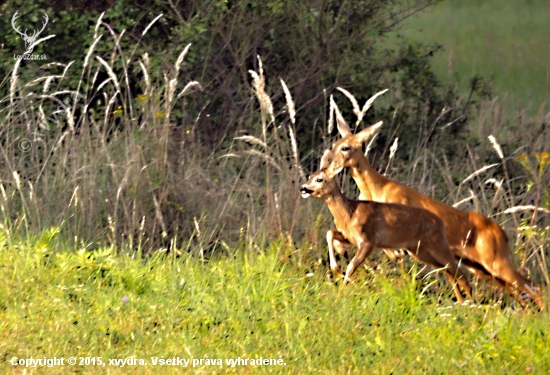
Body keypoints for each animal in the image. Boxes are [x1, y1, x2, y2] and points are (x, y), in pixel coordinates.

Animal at [300, 165, 476, 306]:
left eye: (319, 179)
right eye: (309, 177)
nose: (303, 188)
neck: (349, 213)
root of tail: (441, 222)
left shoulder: (369, 240)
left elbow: (351, 266)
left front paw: (341, 291)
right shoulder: (350, 237)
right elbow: (330, 233)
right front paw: (337, 263)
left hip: (437, 243)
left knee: (459, 271)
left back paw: (472, 305)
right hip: (420, 250)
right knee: (449, 272)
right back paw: (462, 302)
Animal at [326, 112, 544, 312]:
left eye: (346, 147)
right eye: (334, 144)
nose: (328, 163)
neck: (377, 189)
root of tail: (503, 234)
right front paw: (340, 252)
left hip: (494, 260)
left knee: (532, 286)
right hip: (477, 265)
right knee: (514, 289)